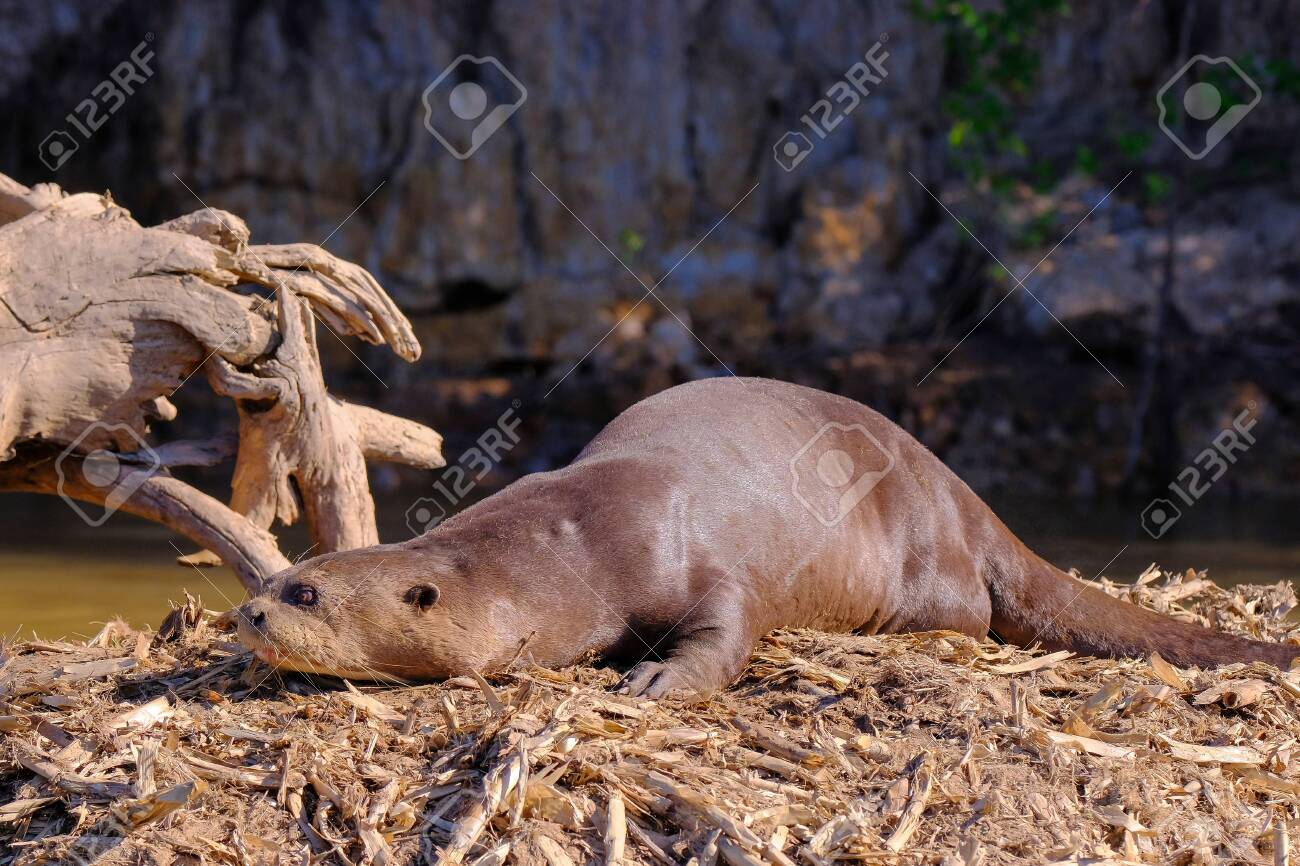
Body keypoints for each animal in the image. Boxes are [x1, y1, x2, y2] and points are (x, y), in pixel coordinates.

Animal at [237, 378, 1298, 696]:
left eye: (306, 593)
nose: (247, 615)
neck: (563, 549)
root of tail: (962, 494)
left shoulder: (688, 555)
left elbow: (726, 628)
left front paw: (656, 681)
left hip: (925, 559)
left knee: (969, 610)